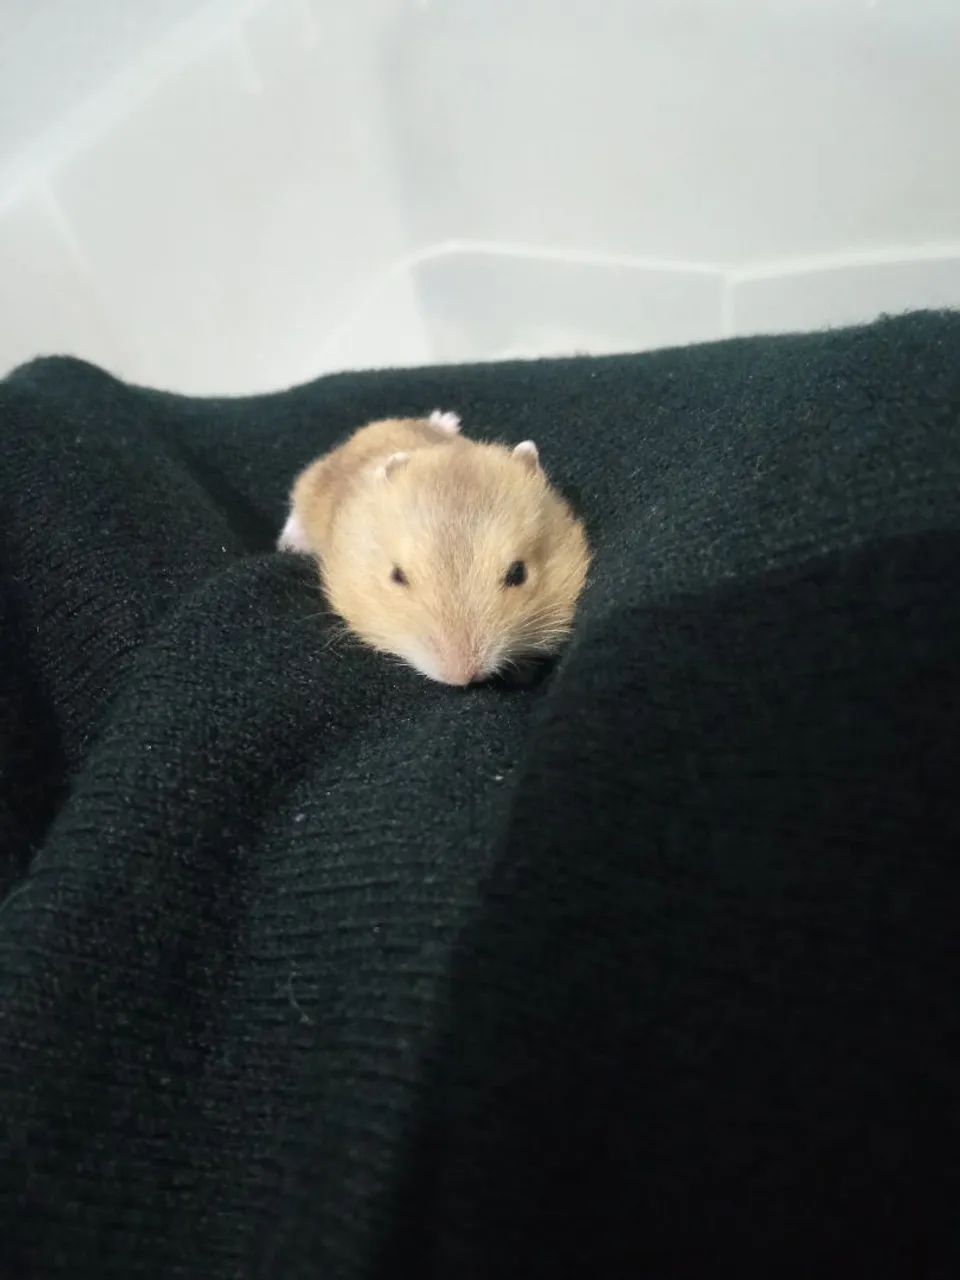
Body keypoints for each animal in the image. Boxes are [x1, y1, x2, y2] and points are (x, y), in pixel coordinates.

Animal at [278, 409, 590, 686]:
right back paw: (289, 544)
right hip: (311, 482)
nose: (462, 679)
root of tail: (366, 432)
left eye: (518, 573)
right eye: (397, 576)